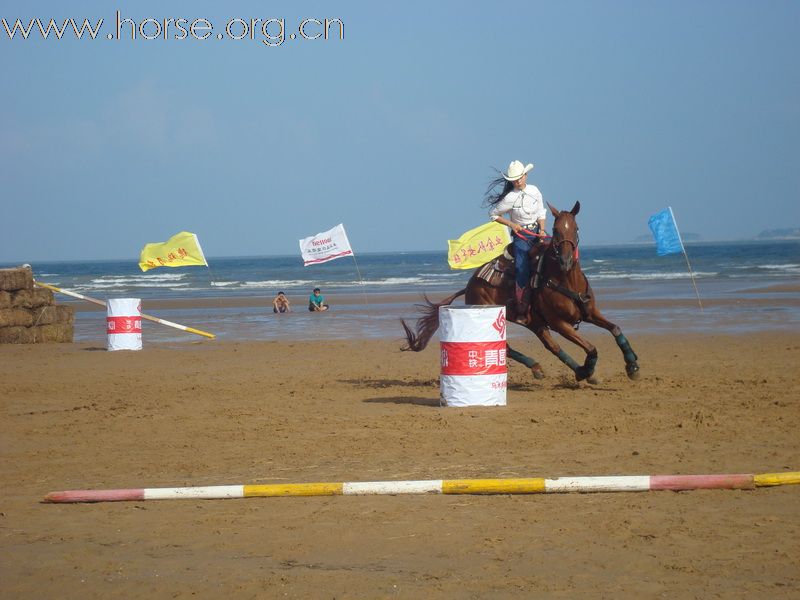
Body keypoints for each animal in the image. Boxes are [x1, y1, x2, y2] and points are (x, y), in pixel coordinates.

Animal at [404, 199, 640, 382]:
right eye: (556, 230)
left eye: (576, 228)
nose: (565, 261)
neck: (566, 280)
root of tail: (470, 285)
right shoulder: (559, 323)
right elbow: (591, 348)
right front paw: (591, 367)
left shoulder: (590, 313)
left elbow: (615, 329)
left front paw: (632, 365)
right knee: (509, 348)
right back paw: (551, 368)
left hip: (534, 322)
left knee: (551, 346)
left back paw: (572, 371)